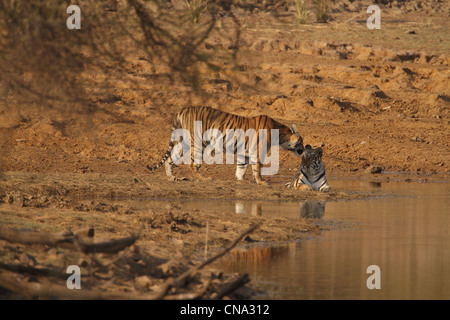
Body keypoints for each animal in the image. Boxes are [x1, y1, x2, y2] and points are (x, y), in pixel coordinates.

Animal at [146, 106, 304, 184]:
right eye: (301, 141)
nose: (303, 150)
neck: (280, 134)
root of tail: (182, 109)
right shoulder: (258, 152)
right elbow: (257, 168)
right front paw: (262, 182)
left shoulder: (244, 153)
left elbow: (241, 168)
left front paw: (241, 180)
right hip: (197, 142)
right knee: (193, 164)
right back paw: (205, 179)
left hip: (183, 142)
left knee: (170, 158)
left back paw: (171, 177)